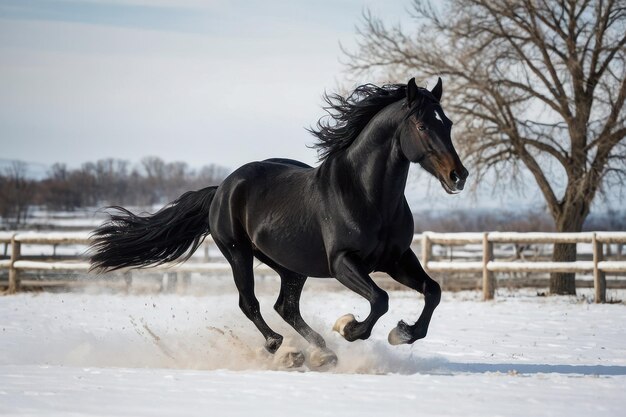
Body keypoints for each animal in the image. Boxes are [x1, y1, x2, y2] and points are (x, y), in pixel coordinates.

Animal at [90, 78, 466, 368]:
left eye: (447, 123)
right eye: (422, 125)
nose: (458, 176)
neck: (367, 195)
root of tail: (222, 187)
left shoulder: (397, 259)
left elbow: (432, 291)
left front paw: (402, 333)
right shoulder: (343, 262)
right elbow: (380, 299)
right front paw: (348, 327)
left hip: (290, 266)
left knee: (285, 306)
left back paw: (321, 354)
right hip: (238, 253)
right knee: (251, 304)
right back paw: (282, 349)